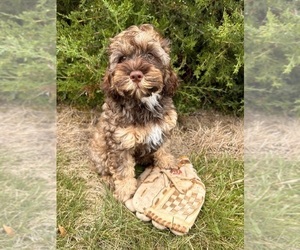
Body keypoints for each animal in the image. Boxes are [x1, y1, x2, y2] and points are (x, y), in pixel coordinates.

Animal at [89, 24, 178, 202]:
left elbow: (164, 147)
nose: (136, 75)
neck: (143, 102)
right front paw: (125, 192)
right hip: (99, 148)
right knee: (103, 167)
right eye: (122, 58)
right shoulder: (119, 142)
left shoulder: (164, 128)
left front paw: (166, 162)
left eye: (150, 55)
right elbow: (123, 170)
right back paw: (108, 180)